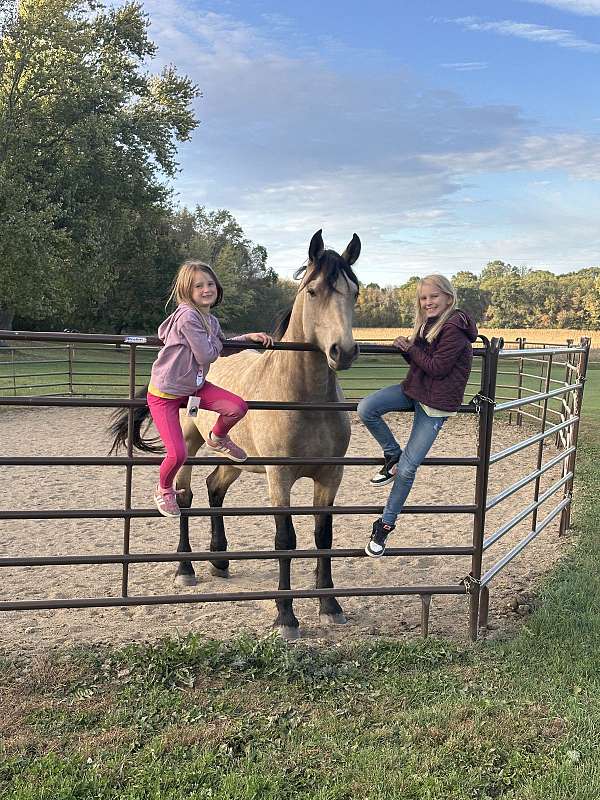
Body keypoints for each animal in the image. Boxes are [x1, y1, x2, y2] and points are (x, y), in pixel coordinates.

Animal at [109, 229, 361, 639]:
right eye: (313, 291)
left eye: (354, 292)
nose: (345, 351)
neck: (305, 399)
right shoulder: (279, 477)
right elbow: (285, 540)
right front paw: (286, 617)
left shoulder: (330, 475)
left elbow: (323, 537)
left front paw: (330, 606)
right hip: (188, 445)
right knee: (186, 494)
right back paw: (186, 568)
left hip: (234, 456)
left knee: (215, 486)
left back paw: (220, 559)